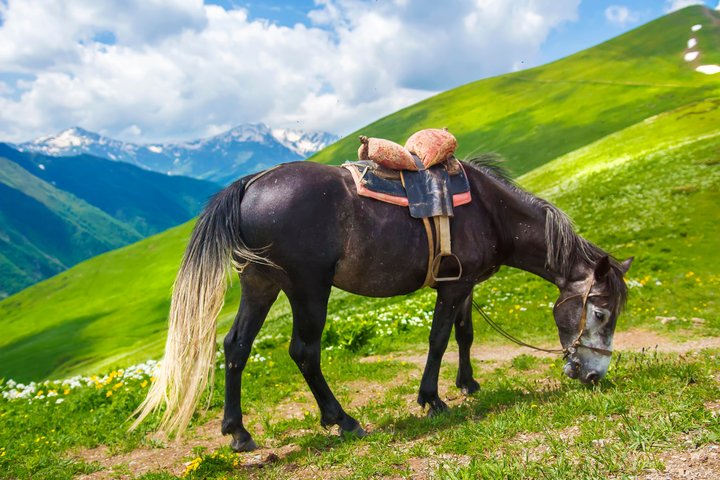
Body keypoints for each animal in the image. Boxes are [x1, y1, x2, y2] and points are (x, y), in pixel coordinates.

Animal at [132, 157, 632, 452]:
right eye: (601, 312)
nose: (594, 376)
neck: (491, 212)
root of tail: (252, 183)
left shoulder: (465, 284)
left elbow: (465, 334)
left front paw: (468, 384)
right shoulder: (452, 287)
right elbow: (438, 338)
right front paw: (432, 399)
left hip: (261, 283)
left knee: (236, 347)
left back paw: (238, 433)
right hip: (308, 288)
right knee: (304, 351)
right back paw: (344, 420)